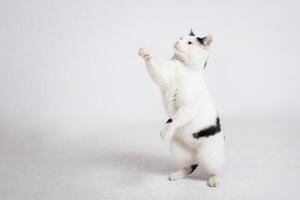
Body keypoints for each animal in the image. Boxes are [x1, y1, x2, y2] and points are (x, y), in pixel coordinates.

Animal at [138, 30, 225, 187]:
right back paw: (177, 175)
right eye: (180, 38)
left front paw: (165, 131)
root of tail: (196, 154)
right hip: (177, 150)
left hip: (210, 155)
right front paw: (145, 53)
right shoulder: (164, 74)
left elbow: (174, 119)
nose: (177, 42)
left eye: (189, 43)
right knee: (189, 167)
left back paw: (214, 179)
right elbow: (156, 71)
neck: (183, 68)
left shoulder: (188, 107)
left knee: (213, 169)